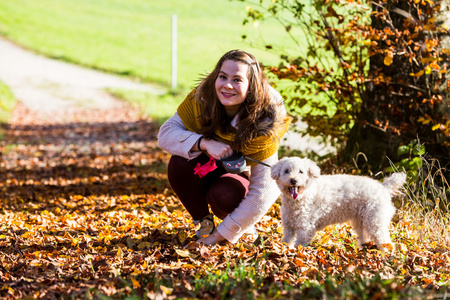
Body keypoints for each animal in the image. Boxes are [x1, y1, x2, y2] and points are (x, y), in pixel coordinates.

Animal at [270, 157, 408, 248]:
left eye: (301, 171)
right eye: (286, 171)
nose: (293, 180)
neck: (302, 197)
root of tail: (384, 188)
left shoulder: (305, 229)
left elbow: (299, 246)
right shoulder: (289, 227)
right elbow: (286, 241)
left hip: (375, 222)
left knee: (385, 241)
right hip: (361, 222)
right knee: (365, 237)